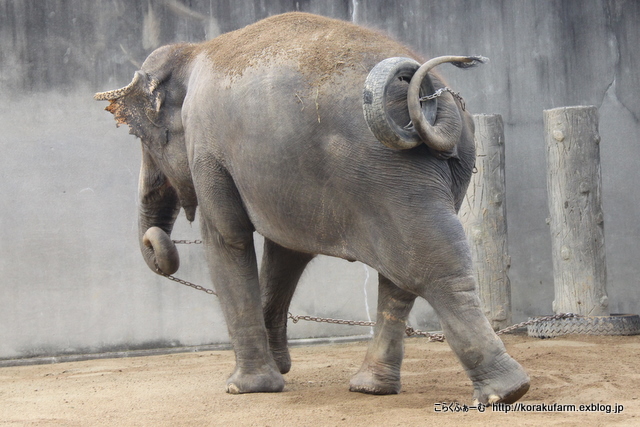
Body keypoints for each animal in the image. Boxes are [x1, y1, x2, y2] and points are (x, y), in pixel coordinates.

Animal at [95, 10, 528, 404]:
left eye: (143, 140)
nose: (156, 242)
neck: (194, 50)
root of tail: (427, 89)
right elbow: (287, 251)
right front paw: (278, 369)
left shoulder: (207, 149)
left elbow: (228, 238)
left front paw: (245, 387)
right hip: (443, 169)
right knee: (406, 274)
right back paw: (374, 387)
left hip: (385, 173)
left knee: (425, 266)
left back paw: (505, 392)